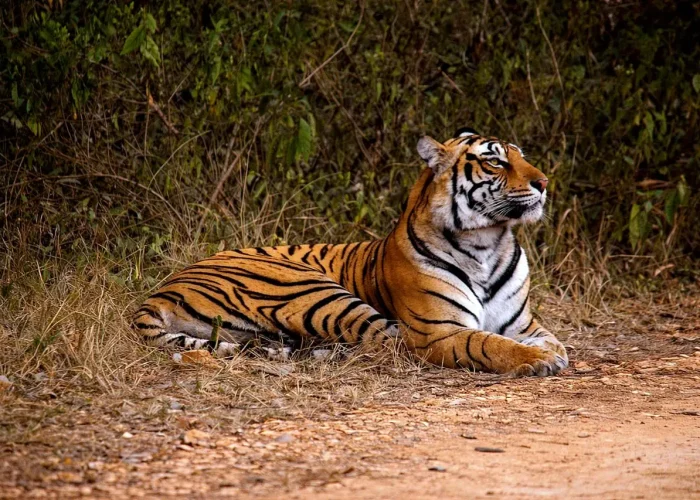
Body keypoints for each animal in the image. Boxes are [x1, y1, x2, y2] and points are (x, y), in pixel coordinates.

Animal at [133, 128, 568, 377]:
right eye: (496, 161)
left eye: (522, 156)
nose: (545, 182)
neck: (487, 244)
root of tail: (163, 288)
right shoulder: (438, 331)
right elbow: (487, 342)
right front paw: (536, 361)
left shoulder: (524, 325)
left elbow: (550, 340)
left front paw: (551, 353)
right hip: (315, 290)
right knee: (386, 342)